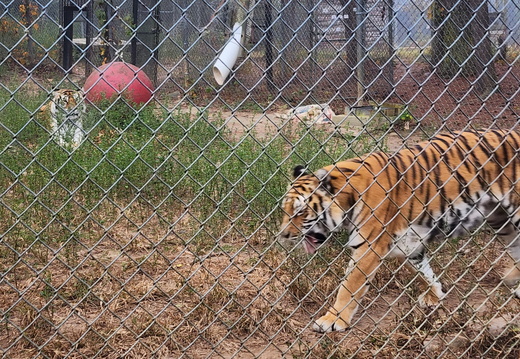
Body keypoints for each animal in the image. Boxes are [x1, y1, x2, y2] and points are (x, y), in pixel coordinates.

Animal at [280, 130, 520, 334]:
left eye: (300, 212)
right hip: (501, 219)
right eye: (285, 210)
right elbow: (424, 272)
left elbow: (349, 286)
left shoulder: (369, 247)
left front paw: (332, 320)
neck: (348, 198)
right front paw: (435, 295)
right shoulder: (409, 243)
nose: (283, 235)